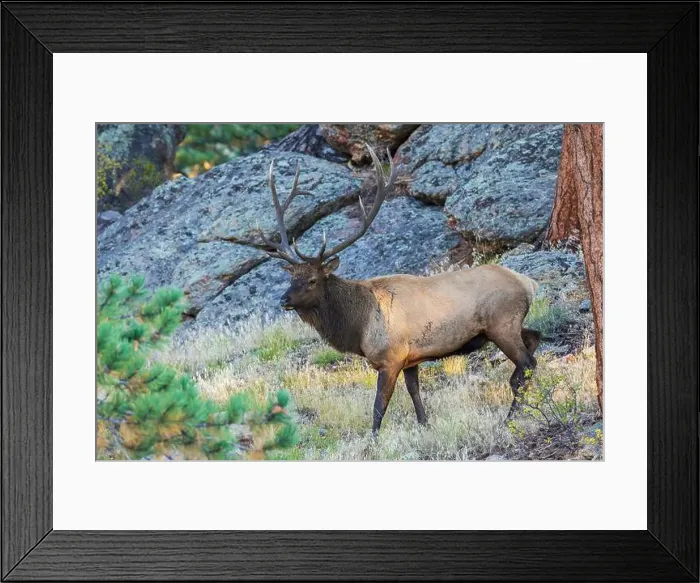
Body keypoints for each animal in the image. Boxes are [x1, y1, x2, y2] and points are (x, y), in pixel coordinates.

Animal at [251, 145, 541, 435]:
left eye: (312, 280)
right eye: (291, 278)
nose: (283, 300)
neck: (359, 325)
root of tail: (528, 283)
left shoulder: (390, 358)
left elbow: (379, 405)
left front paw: (374, 438)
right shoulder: (411, 358)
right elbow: (414, 392)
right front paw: (424, 424)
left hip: (501, 323)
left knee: (528, 363)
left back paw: (510, 418)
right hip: (504, 326)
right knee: (535, 338)